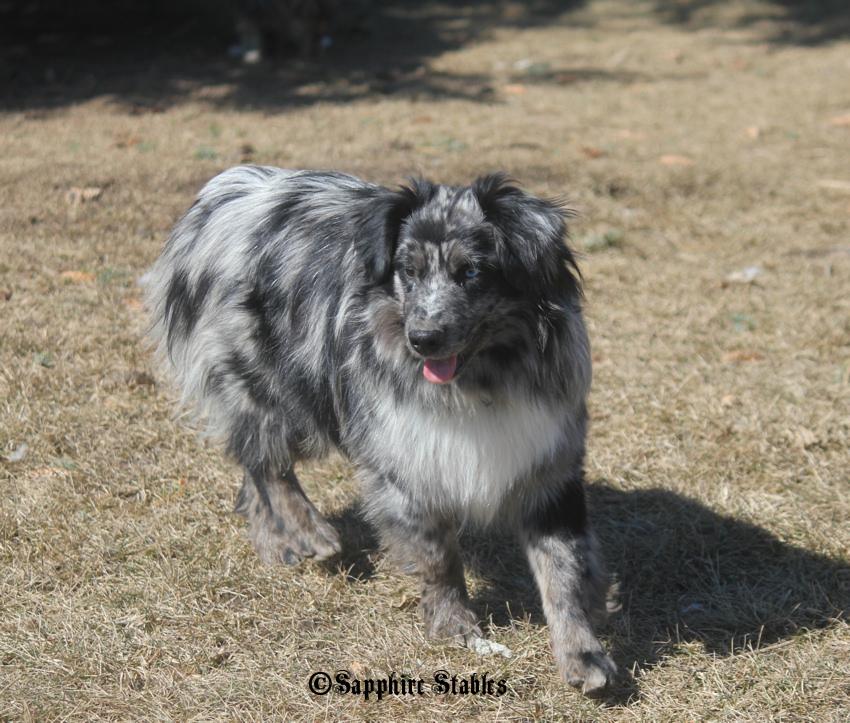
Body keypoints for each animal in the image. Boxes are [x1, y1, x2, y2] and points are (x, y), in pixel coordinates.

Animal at [144, 166, 617, 694]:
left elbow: (563, 570)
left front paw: (582, 654)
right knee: (266, 460)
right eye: (407, 271)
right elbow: (438, 556)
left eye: (472, 271)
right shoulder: (406, 462)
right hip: (273, 387)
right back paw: (309, 533)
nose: (422, 340)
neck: (484, 379)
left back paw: (277, 543)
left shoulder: (548, 466)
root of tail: (225, 191)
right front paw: (454, 626)